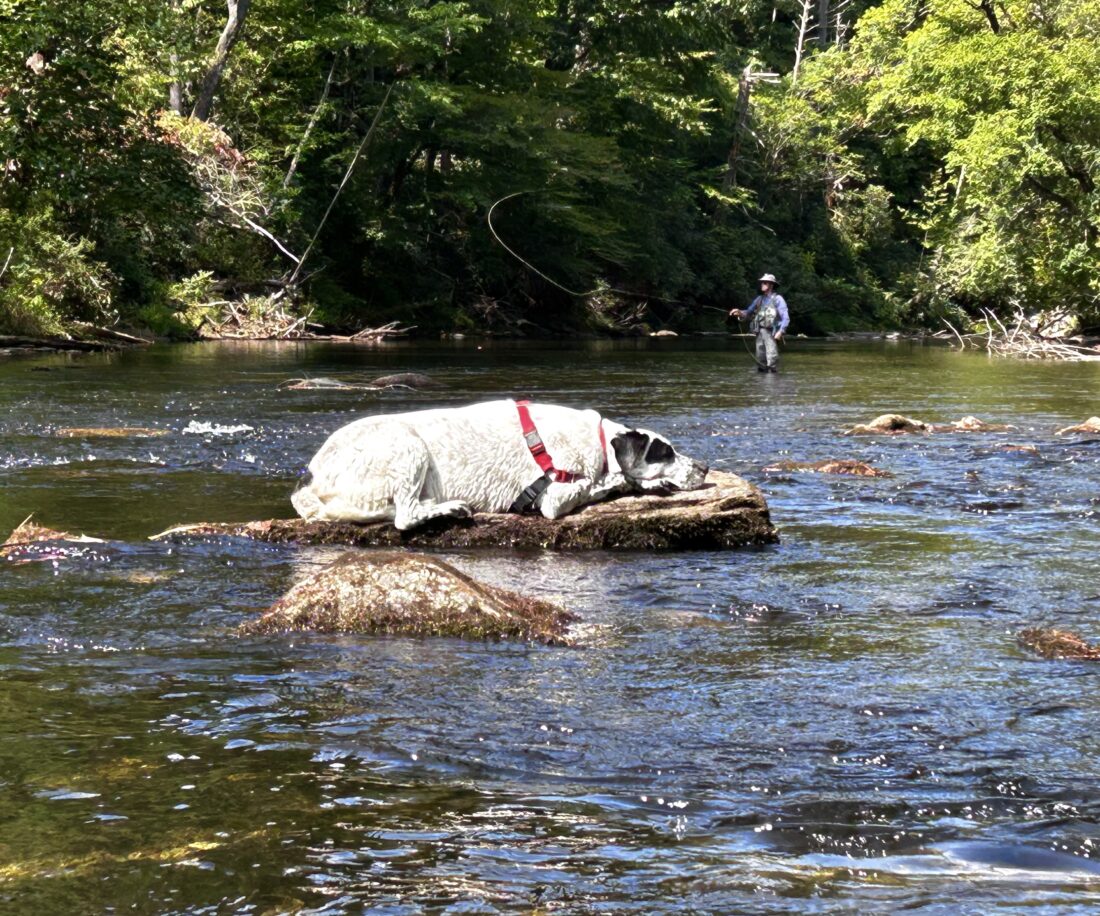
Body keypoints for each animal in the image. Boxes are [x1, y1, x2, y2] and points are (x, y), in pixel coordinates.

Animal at [290, 398, 704, 527]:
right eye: (665, 452)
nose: (703, 468)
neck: (600, 441)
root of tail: (313, 476)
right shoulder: (553, 496)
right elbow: (601, 482)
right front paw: (626, 482)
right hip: (408, 446)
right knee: (404, 516)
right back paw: (446, 509)